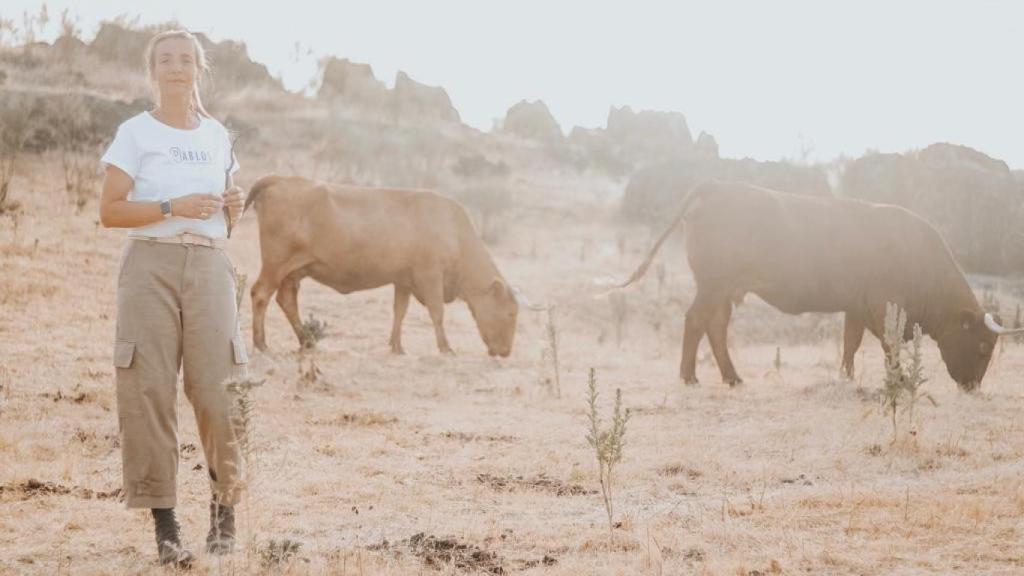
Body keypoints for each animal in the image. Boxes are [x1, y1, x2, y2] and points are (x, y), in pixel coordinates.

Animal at [243, 175, 520, 357]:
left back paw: (306, 340)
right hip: (275, 264)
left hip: (293, 271)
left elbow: (400, 311)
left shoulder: (403, 281)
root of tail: (281, 179)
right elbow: (437, 312)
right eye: (510, 314)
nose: (506, 352)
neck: (453, 231)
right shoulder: (430, 277)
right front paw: (446, 348)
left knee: (287, 300)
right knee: (261, 294)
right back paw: (261, 344)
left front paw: (397, 346)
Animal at [619, 180, 1023, 391]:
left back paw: (732, 378)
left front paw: (846, 377)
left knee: (714, 327)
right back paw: (690, 377)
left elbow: (850, 343)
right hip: (713, 286)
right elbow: (888, 346)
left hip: (722, 290)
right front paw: (899, 379)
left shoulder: (856, 308)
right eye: (983, 346)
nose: (972, 387)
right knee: (696, 322)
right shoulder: (883, 307)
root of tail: (719, 186)